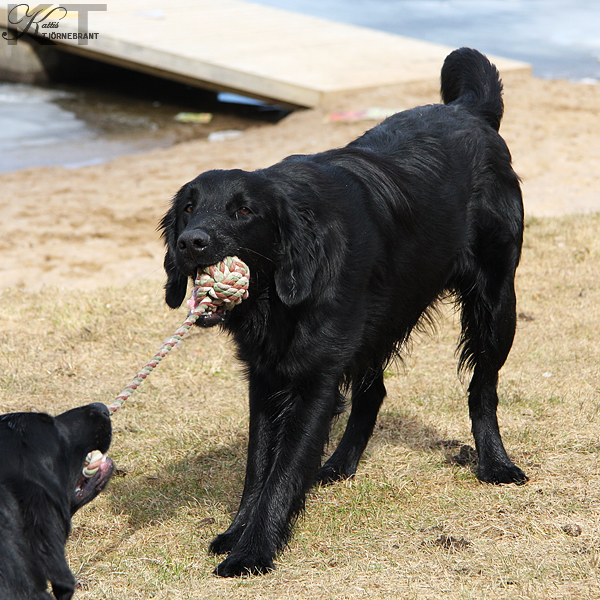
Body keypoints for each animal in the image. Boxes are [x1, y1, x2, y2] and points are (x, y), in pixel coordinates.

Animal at [162, 48, 528, 576]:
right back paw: (339, 464)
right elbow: (258, 464)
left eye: (243, 211)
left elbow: (281, 472)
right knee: (374, 393)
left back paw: (495, 464)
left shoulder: (314, 379)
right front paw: (236, 532)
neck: (282, 293)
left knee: (482, 388)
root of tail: (468, 111)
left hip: (495, 306)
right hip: (374, 326)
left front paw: (252, 551)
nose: (191, 242)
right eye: (188, 208)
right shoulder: (267, 376)